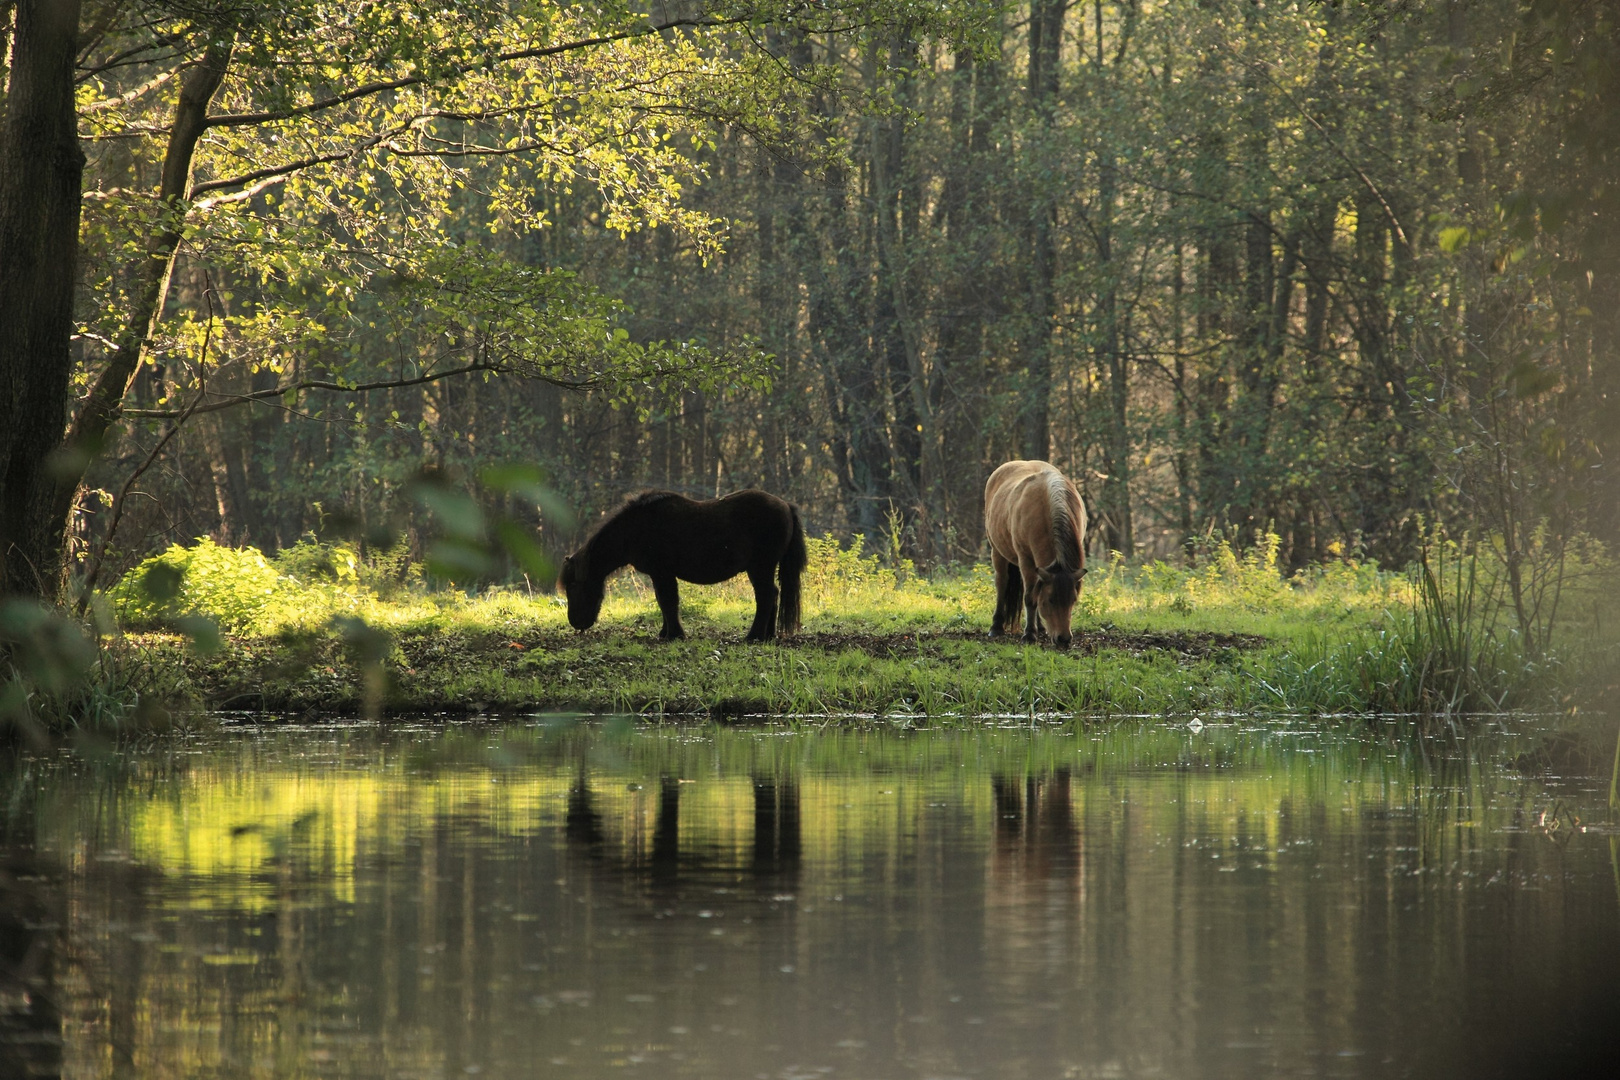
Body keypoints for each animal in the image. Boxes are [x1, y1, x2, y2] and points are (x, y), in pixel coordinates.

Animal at [560, 488, 806, 641]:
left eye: (573, 585)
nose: (576, 622)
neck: (636, 528)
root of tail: (786, 505)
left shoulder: (662, 573)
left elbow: (668, 601)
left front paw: (675, 634)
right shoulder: (660, 574)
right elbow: (664, 602)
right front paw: (665, 632)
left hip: (760, 567)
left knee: (766, 596)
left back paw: (753, 636)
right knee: (773, 595)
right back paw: (768, 635)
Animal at [984, 459, 1088, 647]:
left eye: (1073, 600)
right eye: (1050, 600)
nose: (1064, 639)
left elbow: (1036, 592)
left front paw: (1035, 629)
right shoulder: (1026, 560)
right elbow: (1029, 597)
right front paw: (1029, 634)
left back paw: (1040, 627)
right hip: (997, 552)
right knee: (1002, 583)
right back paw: (997, 627)